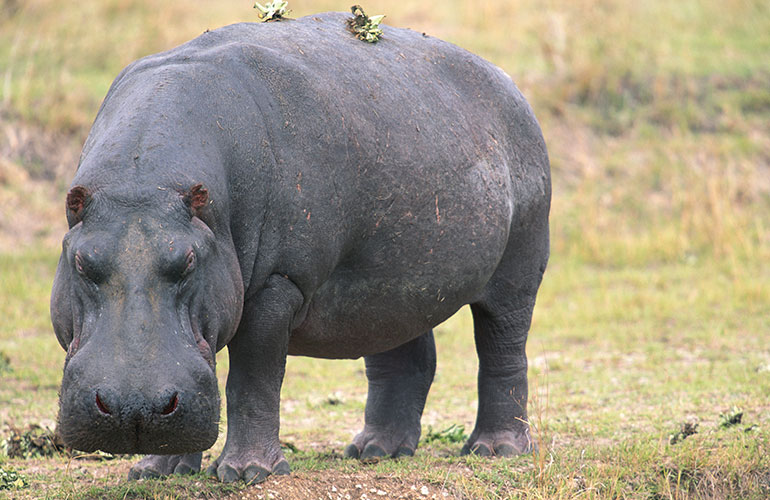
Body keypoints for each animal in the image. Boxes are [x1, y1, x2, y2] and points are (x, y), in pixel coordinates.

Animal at [50, 12, 550, 483]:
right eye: (82, 262)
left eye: (188, 262)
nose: (133, 408)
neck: (143, 182)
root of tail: (507, 82)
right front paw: (156, 470)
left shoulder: (278, 282)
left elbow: (254, 378)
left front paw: (247, 473)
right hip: (392, 279)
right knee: (405, 354)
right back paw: (373, 450)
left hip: (518, 266)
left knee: (503, 348)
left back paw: (495, 449)